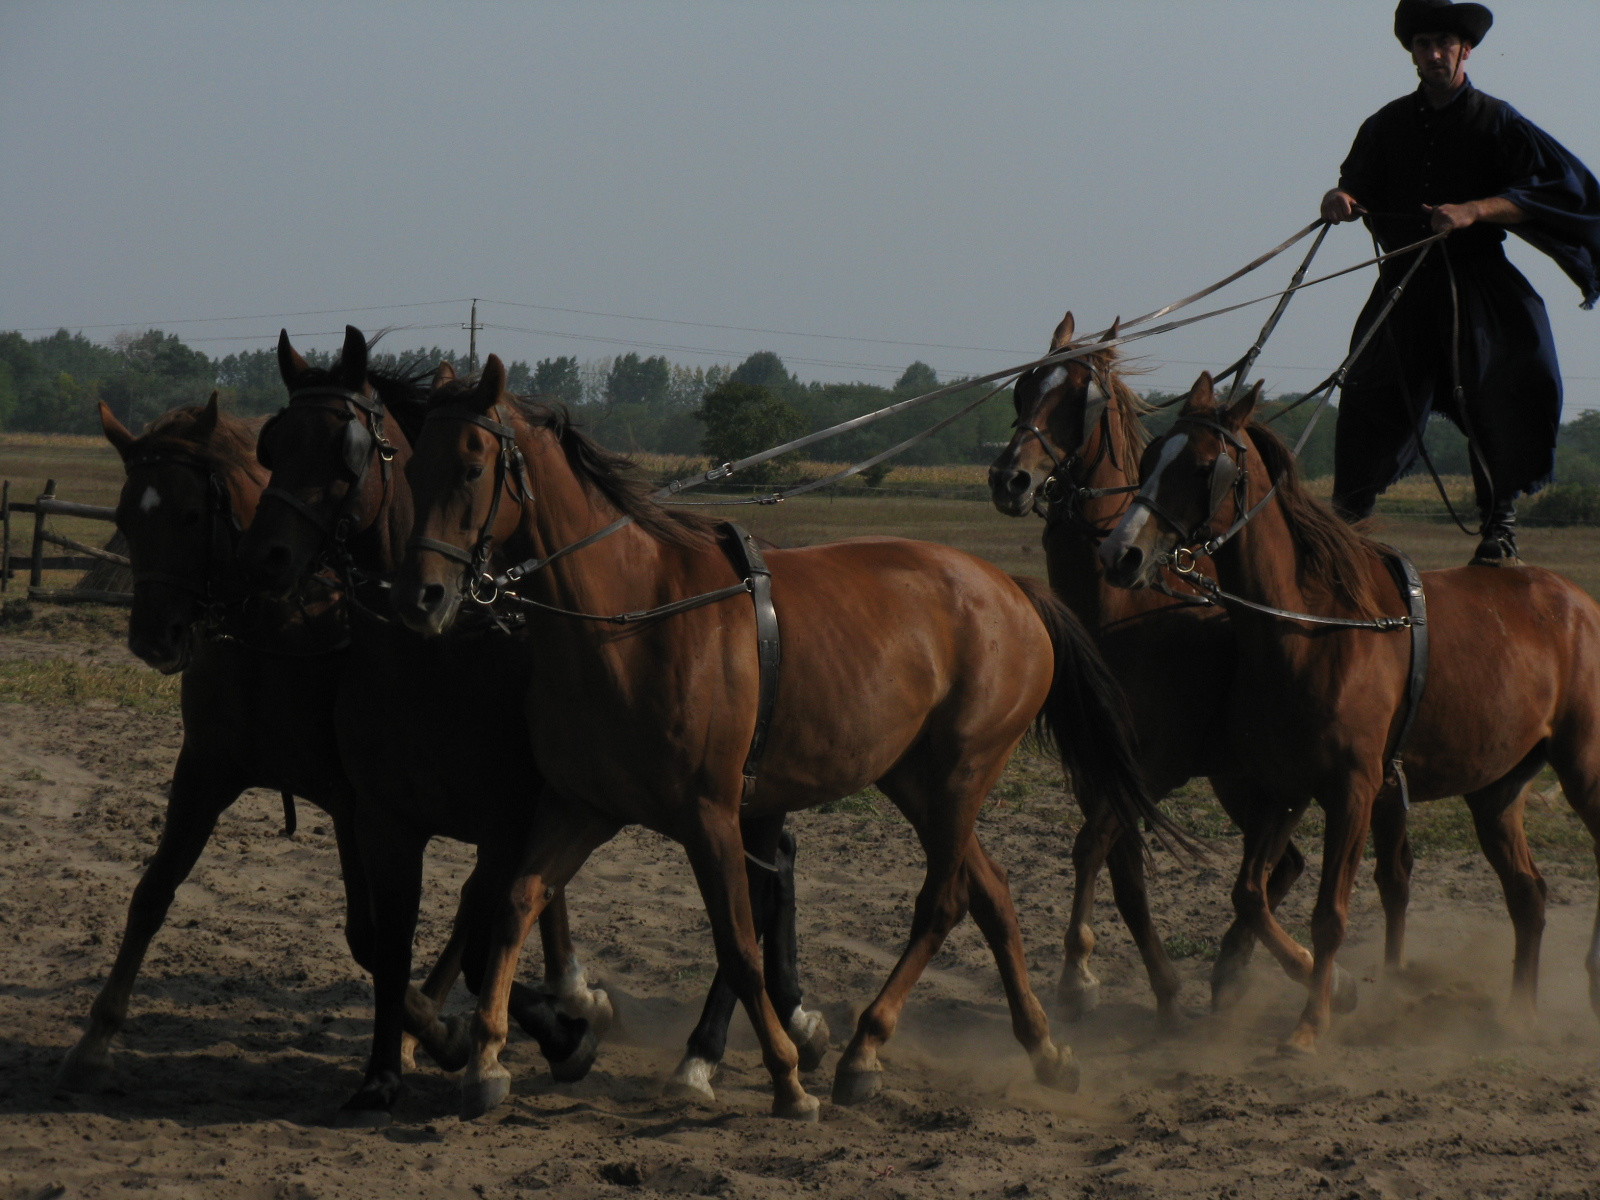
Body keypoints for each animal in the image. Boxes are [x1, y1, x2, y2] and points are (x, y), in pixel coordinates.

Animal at [240, 331, 825, 1120]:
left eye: (348, 450)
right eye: (273, 443)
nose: (265, 558)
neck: (435, 662)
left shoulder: (506, 819)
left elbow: (477, 930)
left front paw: (544, 1035)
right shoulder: (385, 820)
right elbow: (387, 942)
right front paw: (389, 1067)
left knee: (762, 881)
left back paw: (722, 1044)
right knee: (772, 869)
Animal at [387, 352, 1164, 1126]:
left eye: (471, 466)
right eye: (413, 464)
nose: (422, 597)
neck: (629, 617)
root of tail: (1010, 587)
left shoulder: (710, 816)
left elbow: (737, 945)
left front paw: (783, 1077)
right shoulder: (583, 806)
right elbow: (516, 903)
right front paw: (486, 1057)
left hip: (960, 776)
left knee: (943, 902)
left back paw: (865, 1050)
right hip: (916, 781)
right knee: (992, 894)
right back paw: (1041, 1048)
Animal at [985, 315, 1376, 1017]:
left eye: (1080, 396)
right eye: (1026, 386)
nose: (1011, 479)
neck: (1125, 615)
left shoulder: (1154, 768)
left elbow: (1097, 851)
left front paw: (1087, 973)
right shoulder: (1101, 773)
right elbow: (1118, 870)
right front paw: (1115, 976)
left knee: (1279, 869)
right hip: (1239, 783)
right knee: (1283, 867)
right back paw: (1243, 966)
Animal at [1100, 376, 1600, 1049]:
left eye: (1205, 467)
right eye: (1151, 457)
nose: (1120, 553)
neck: (1314, 628)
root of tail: (1578, 603)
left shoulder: (1354, 791)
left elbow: (1329, 915)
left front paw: (1311, 1024)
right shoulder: (1282, 791)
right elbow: (1249, 894)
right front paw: (1329, 986)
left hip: (1584, 770)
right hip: (1496, 793)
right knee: (1529, 896)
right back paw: (1520, 1012)